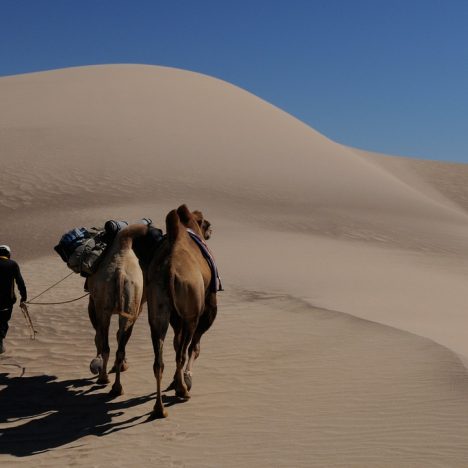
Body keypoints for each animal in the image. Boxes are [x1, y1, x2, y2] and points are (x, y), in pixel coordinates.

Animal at [87, 223, 146, 394]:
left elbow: (98, 337)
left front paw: (96, 364)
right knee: (120, 347)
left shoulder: (93, 302)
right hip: (130, 305)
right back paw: (117, 387)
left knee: (105, 344)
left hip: (104, 309)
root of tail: (120, 274)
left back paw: (103, 379)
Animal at [146, 205, 218, 416]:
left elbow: (176, 342)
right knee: (183, 352)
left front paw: (176, 381)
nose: (211, 229)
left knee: (159, 360)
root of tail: (170, 270)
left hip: (157, 311)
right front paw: (186, 379)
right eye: (205, 223)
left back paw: (159, 408)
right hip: (190, 312)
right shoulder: (208, 306)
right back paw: (183, 391)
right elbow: (195, 347)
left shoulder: (174, 317)